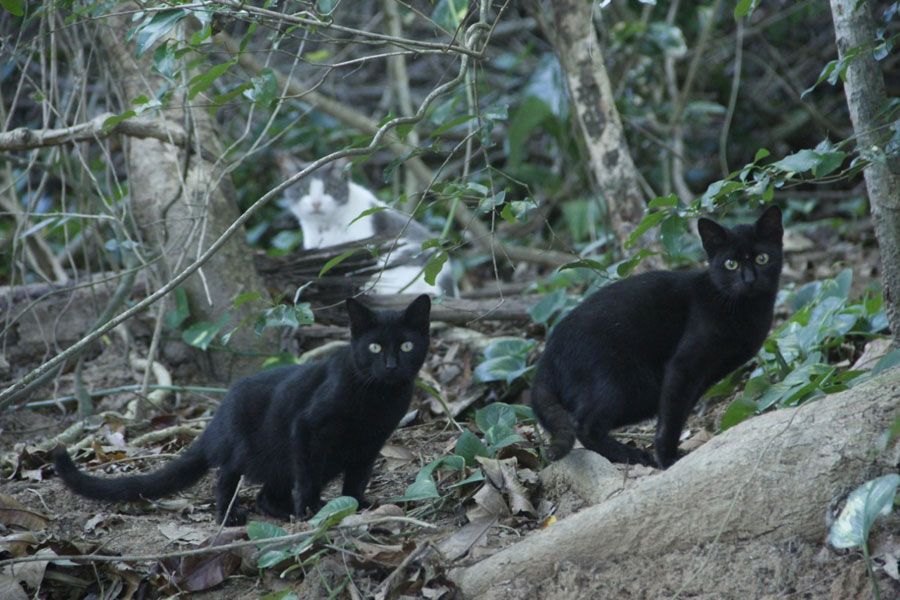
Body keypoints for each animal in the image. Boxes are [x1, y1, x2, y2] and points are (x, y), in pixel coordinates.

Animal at [52, 296, 432, 524]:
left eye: (406, 345)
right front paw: (309, 509)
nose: (391, 365)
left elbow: (357, 478)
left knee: (265, 494)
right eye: (375, 347)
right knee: (227, 477)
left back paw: (280, 511)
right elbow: (306, 476)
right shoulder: (307, 426)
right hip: (247, 447)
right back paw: (230, 516)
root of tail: (216, 420)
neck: (378, 398)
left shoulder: (370, 442)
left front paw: (357, 505)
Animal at [532, 206, 784, 468]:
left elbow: (676, 409)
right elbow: (672, 415)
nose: (749, 280)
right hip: (620, 386)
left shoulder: (704, 376)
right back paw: (632, 455)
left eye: (762, 258)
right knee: (585, 425)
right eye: (730, 264)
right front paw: (667, 457)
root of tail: (547, 356)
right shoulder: (683, 365)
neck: (745, 311)